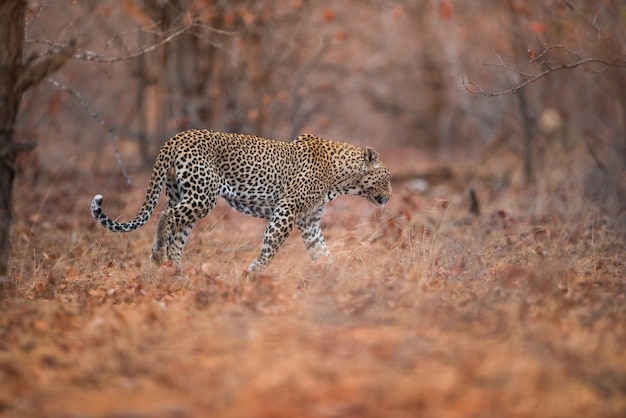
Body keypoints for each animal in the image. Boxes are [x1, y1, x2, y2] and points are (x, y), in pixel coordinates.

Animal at [90, 131, 390, 274]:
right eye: (387, 177)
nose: (390, 196)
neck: (342, 179)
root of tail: (177, 137)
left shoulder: (309, 221)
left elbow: (322, 252)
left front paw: (332, 278)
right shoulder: (287, 210)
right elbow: (271, 246)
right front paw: (255, 272)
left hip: (183, 195)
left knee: (177, 235)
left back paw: (176, 272)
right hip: (202, 196)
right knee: (166, 216)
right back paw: (157, 255)